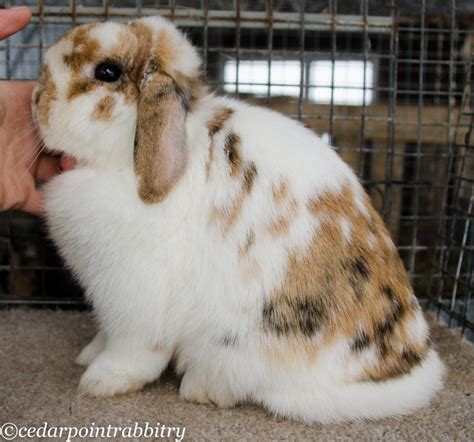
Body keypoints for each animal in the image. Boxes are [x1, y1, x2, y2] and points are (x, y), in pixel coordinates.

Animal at [33, 15, 444, 424]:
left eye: (107, 71)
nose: (36, 97)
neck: (122, 159)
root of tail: (404, 372)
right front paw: (88, 354)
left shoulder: (136, 301)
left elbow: (133, 351)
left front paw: (99, 380)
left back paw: (200, 388)